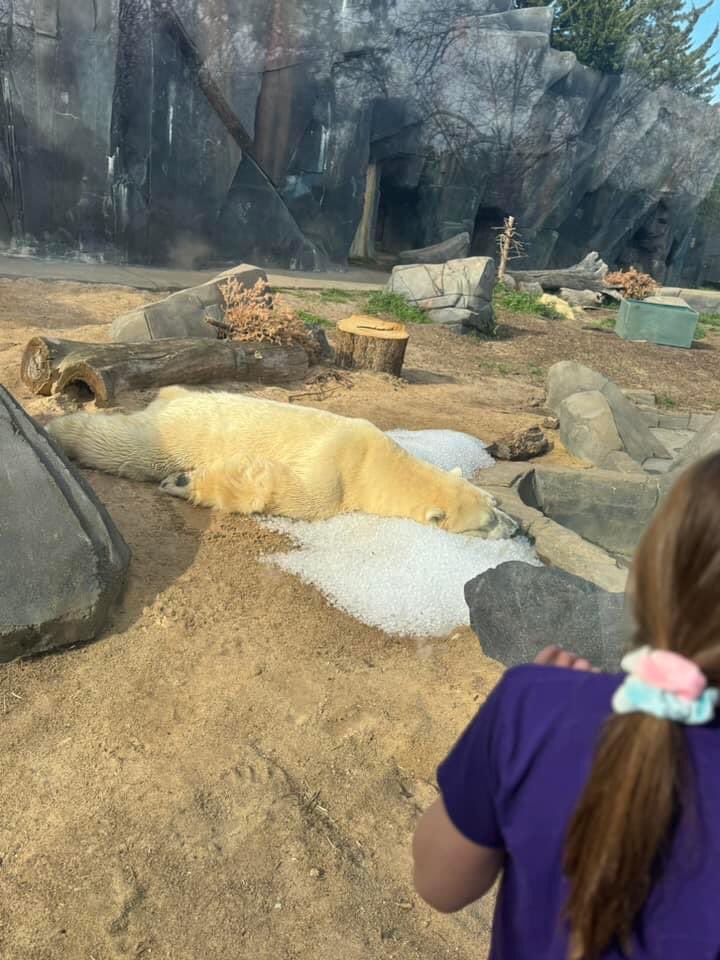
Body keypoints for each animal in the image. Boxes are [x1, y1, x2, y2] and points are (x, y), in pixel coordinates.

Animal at [45, 386, 518, 540]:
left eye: (495, 506)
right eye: (486, 522)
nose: (516, 529)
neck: (381, 461)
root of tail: (174, 395)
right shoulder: (337, 470)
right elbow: (291, 492)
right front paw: (184, 482)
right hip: (178, 430)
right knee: (128, 446)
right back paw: (59, 431)